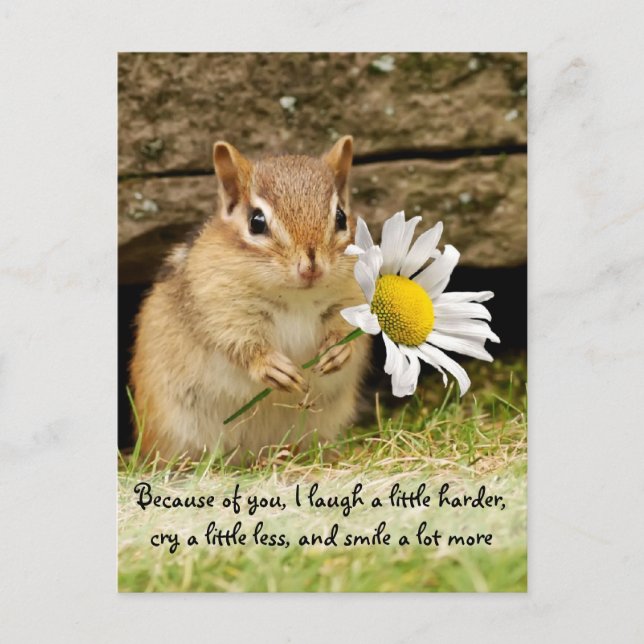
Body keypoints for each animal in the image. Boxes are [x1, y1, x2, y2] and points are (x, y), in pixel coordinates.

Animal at [130, 135, 371, 464]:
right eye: (256, 222)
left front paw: (337, 352)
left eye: (341, 218)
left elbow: (350, 331)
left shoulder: (351, 298)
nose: (311, 266)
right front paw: (272, 367)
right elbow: (239, 343)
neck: (297, 297)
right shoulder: (222, 308)